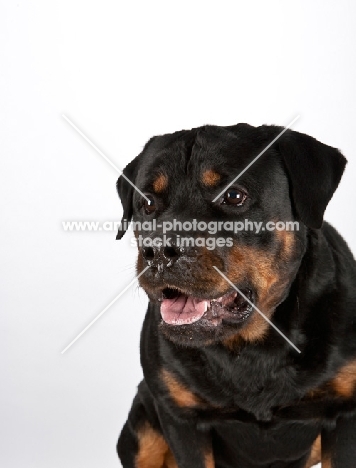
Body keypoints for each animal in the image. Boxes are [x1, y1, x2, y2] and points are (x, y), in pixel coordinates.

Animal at [116, 124, 356, 468]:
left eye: (233, 195)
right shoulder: (181, 419)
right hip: (141, 430)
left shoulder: (344, 414)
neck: (251, 346)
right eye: (146, 203)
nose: (158, 251)